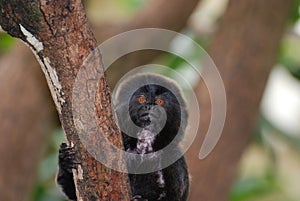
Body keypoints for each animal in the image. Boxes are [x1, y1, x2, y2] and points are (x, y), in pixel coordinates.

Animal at [57, 74, 189, 201]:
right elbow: (73, 192)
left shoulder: (174, 159)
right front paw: (65, 160)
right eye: (142, 99)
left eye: (160, 102)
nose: (149, 107)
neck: (144, 145)